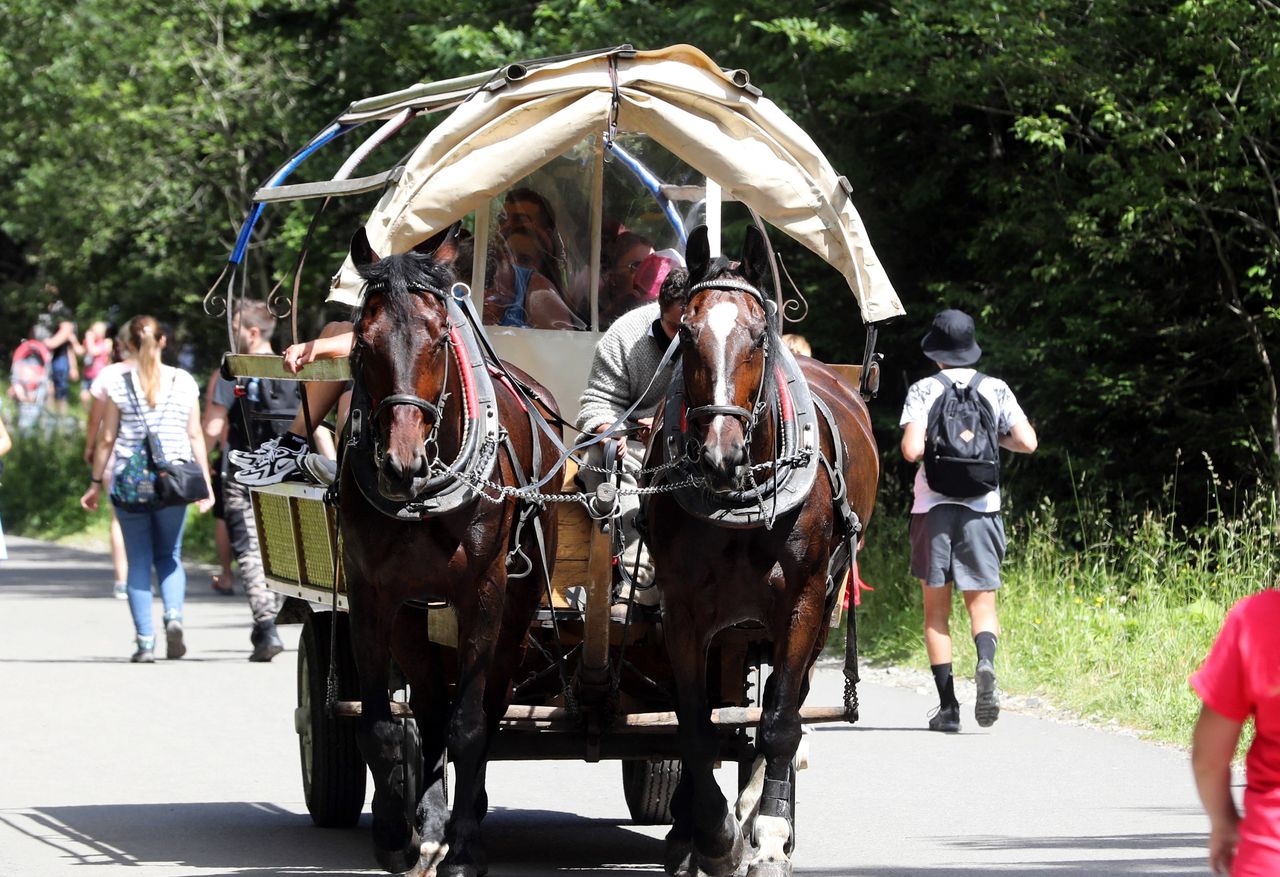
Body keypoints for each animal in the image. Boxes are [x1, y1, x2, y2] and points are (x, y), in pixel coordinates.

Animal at [340, 227, 560, 875]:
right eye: (362, 341)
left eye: (439, 339)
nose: (401, 464)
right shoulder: (372, 595)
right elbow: (382, 724)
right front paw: (397, 834)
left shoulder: (482, 593)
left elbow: (469, 723)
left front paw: (465, 846)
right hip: (414, 617)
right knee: (431, 707)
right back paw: (431, 819)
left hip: (517, 609)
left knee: (487, 706)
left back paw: (467, 815)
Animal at [645, 227, 875, 875]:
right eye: (687, 332)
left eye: (757, 334)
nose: (719, 453)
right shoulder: (682, 610)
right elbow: (693, 724)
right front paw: (711, 835)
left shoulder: (801, 603)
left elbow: (777, 722)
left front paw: (767, 834)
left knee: (785, 707)